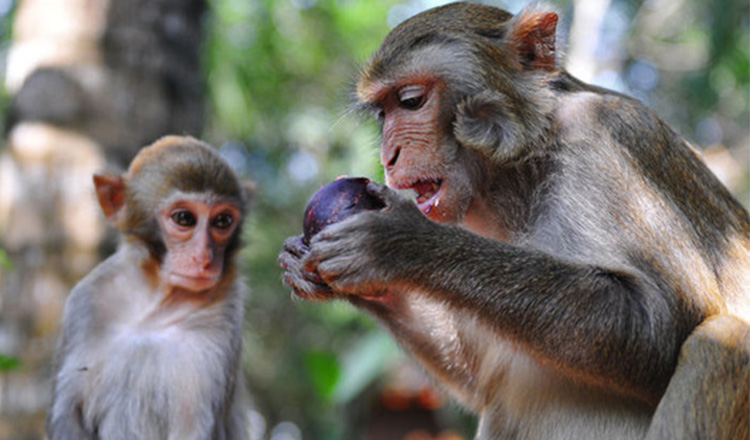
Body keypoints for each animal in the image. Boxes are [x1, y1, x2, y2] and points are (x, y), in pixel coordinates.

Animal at [47, 137, 253, 440]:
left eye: (222, 221)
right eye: (184, 219)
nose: (205, 258)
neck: (154, 302)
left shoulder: (223, 320)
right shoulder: (86, 302)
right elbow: (68, 415)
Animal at [280, 3, 750, 440]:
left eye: (411, 101)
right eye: (382, 113)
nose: (388, 156)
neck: (524, 166)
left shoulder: (606, 133)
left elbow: (662, 323)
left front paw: (401, 245)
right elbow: (477, 373)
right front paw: (316, 267)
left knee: (724, 341)